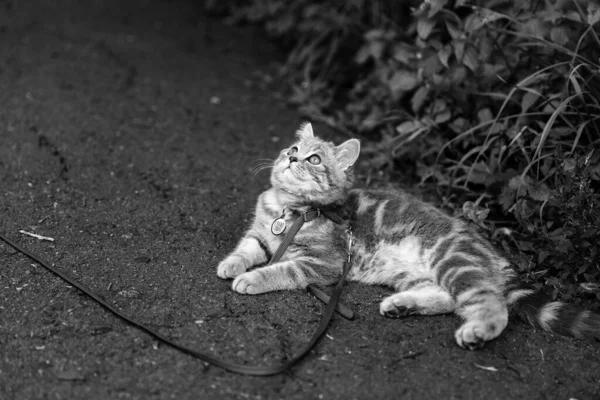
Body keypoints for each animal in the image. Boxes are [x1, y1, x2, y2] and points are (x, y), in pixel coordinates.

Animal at [218, 122, 596, 350]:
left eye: (313, 159)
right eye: (292, 150)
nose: (293, 158)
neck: (291, 210)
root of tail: (493, 254)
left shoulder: (325, 263)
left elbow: (284, 268)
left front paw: (252, 279)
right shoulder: (261, 235)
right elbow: (247, 247)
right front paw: (231, 264)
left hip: (453, 262)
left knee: (492, 304)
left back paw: (477, 331)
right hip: (411, 273)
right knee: (449, 299)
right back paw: (402, 306)